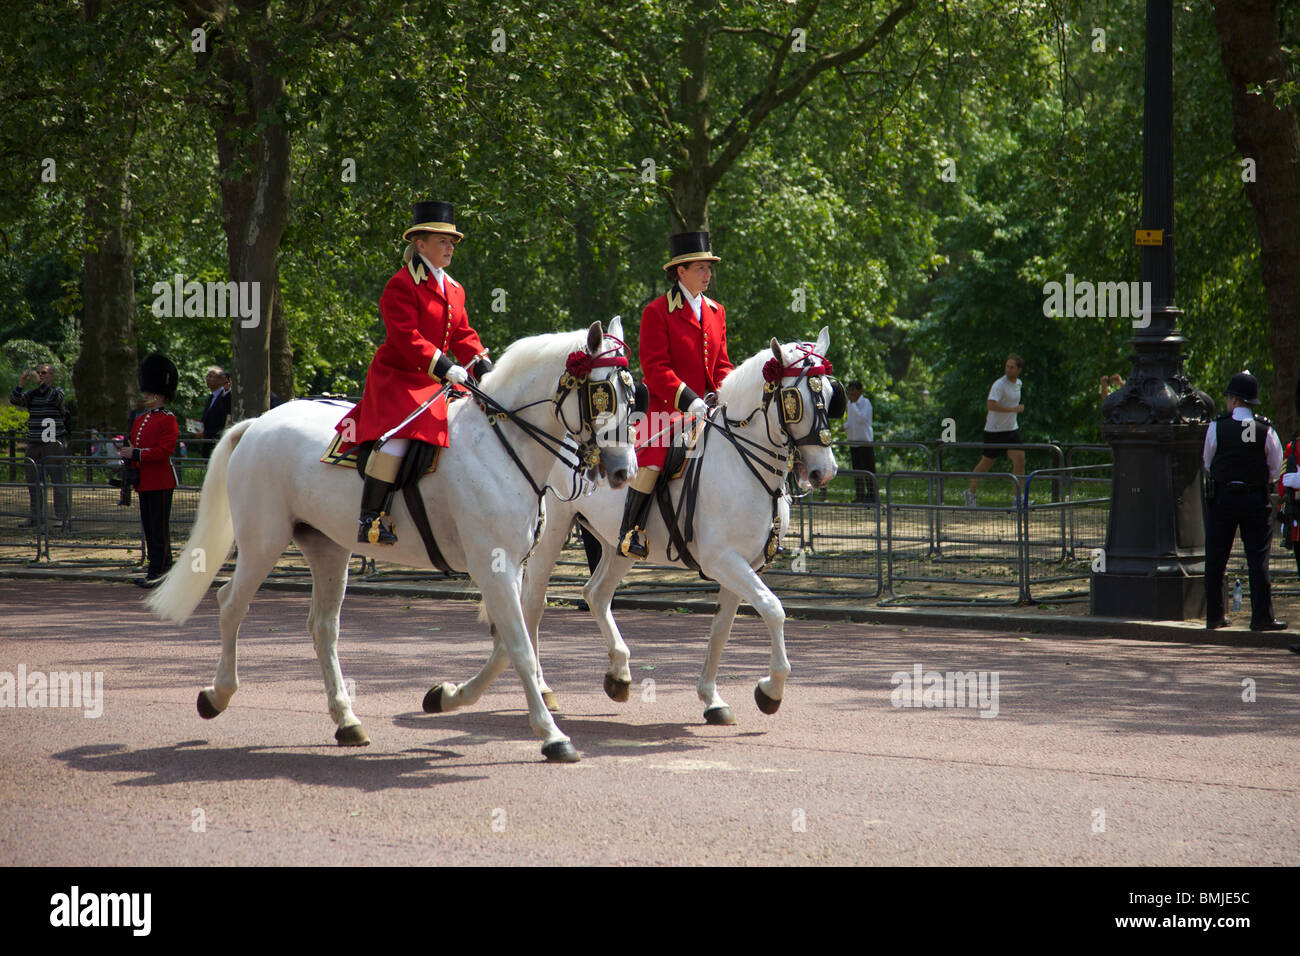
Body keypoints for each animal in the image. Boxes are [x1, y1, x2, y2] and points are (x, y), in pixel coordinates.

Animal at [149, 321, 637, 764]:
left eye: (633, 398)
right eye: (604, 394)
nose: (623, 472)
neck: (501, 446)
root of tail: (257, 423)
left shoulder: (511, 567)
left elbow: (508, 647)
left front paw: (446, 695)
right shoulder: (493, 566)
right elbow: (518, 646)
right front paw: (552, 735)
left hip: (328, 548)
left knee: (323, 626)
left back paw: (347, 720)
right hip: (262, 541)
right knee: (232, 604)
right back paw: (217, 695)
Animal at [431, 329, 842, 723]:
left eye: (831, 395)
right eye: (796, 399)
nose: (824, 471)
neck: (741, 459)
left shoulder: (745, 565)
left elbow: (722, 629)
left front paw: (712, 698)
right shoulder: (723, 560)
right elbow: (774, 609)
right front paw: (771, 690)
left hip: (621, 545)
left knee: (596, 593)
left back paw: (619, 674)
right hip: (551, 536)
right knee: (533, 604)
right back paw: (544, 688)